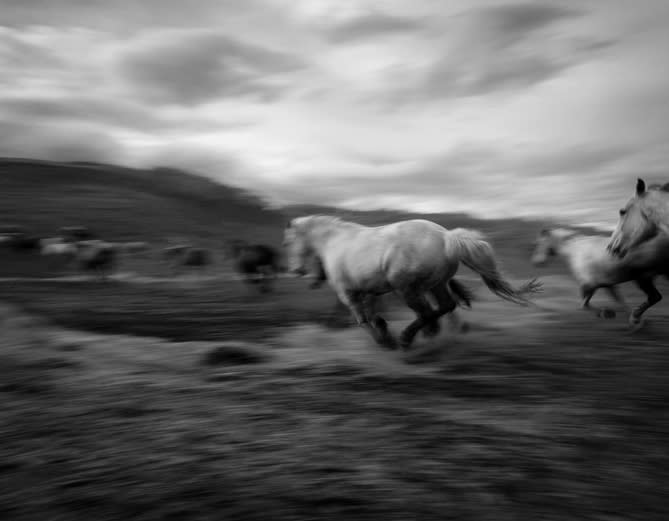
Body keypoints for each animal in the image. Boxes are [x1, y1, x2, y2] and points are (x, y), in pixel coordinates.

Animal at [280, 215, 536, 350]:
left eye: (288, 242)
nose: (296, 270)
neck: (334, 243)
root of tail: (448, 237)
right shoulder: (369, 291)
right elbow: (374, 316)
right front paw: (384, 332)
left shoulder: (348, 294)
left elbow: (363, 320)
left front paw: (385, 341)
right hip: (435, 285)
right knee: (444, 307)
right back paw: (425, 335)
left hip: (407, 289)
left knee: (428, 312)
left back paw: (408, 338)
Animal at [532, 228, 668, 324]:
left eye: (539, 243)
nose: (536, 262)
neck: (574, 250)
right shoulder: (606, 284)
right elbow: (620, 301)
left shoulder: (589, 284)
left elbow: (584, 305)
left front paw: (608, 313)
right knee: (654, 297)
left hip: (642, 278)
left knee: (655, 297)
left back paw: (635, 316)